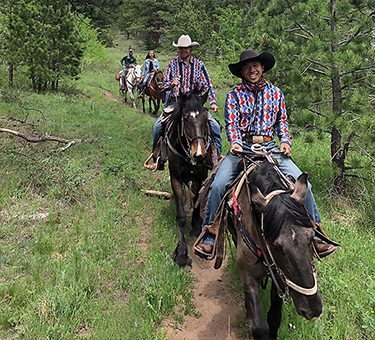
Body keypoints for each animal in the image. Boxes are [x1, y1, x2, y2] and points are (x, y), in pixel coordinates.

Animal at [167, 91, 220, 266]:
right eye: (185, 118)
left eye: (205, 117)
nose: (199, 154)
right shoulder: (175, 178)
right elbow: (181, 216)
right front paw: (182, 253)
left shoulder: (200, 176)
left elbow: (197, 198)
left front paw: (196, 226)